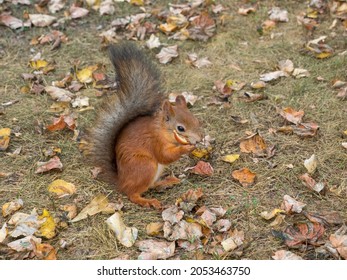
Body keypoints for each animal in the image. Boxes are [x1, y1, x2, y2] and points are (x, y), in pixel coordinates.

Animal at [84, 42, 204, 208]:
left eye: (197, 120)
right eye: (180, 128)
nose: (199, 138)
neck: (162, 131)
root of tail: (122, 182)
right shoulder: (155, 142)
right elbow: (165, 155)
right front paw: (186, 148)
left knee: (150, 185)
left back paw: (167, 181)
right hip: (145, 166)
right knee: (133, 194)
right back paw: (148, 201)